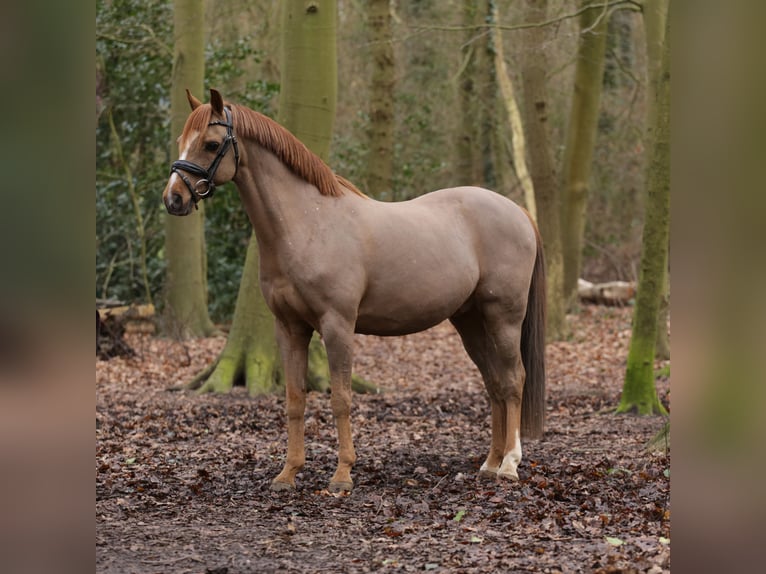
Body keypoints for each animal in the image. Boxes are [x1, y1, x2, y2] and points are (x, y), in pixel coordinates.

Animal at [162, 90, 544, 496]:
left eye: (211, 143)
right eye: (181, 140)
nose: (174, 199)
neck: (308, 224)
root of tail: (517, 210)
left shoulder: (337, 325)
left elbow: (341, 398)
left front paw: (343, 474)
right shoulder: (290, 328)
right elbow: (295, 399)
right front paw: (288, 473)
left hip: (503, 317)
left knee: (512, 379)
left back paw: (509, 465)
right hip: (470, 320)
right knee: (494, 383)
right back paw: (490, 464)